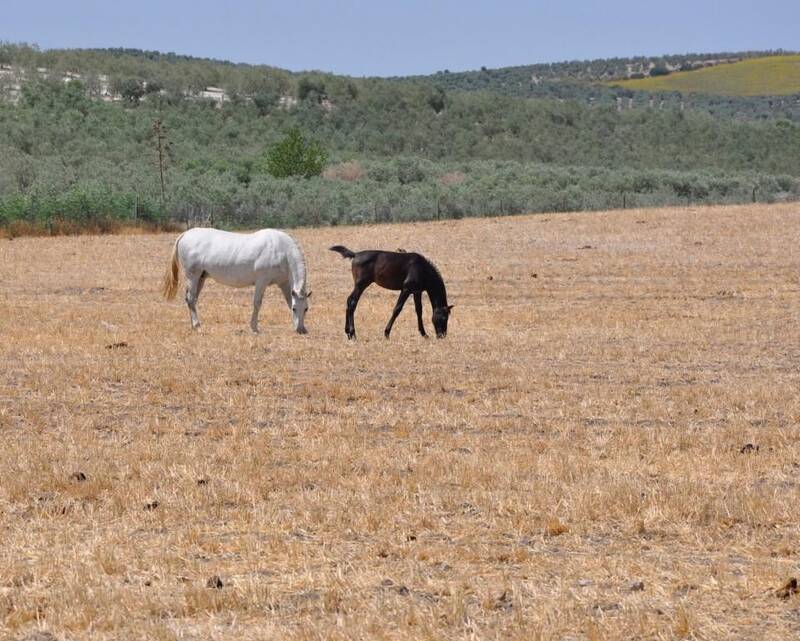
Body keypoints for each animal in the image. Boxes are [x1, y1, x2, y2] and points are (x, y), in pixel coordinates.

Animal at [161, 228, 310, 332]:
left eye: (306, 309)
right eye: (295, 309)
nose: (301, 330)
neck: (280, 249)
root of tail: (185, 234)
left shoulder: (284, 283)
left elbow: (288, 301)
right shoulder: (261, 282)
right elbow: (257, 303)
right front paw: (254, 327)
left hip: (201, 278)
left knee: (192, 300)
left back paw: (193, 324)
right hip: (193, 276)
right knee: (191, 298)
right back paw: (197, 325)